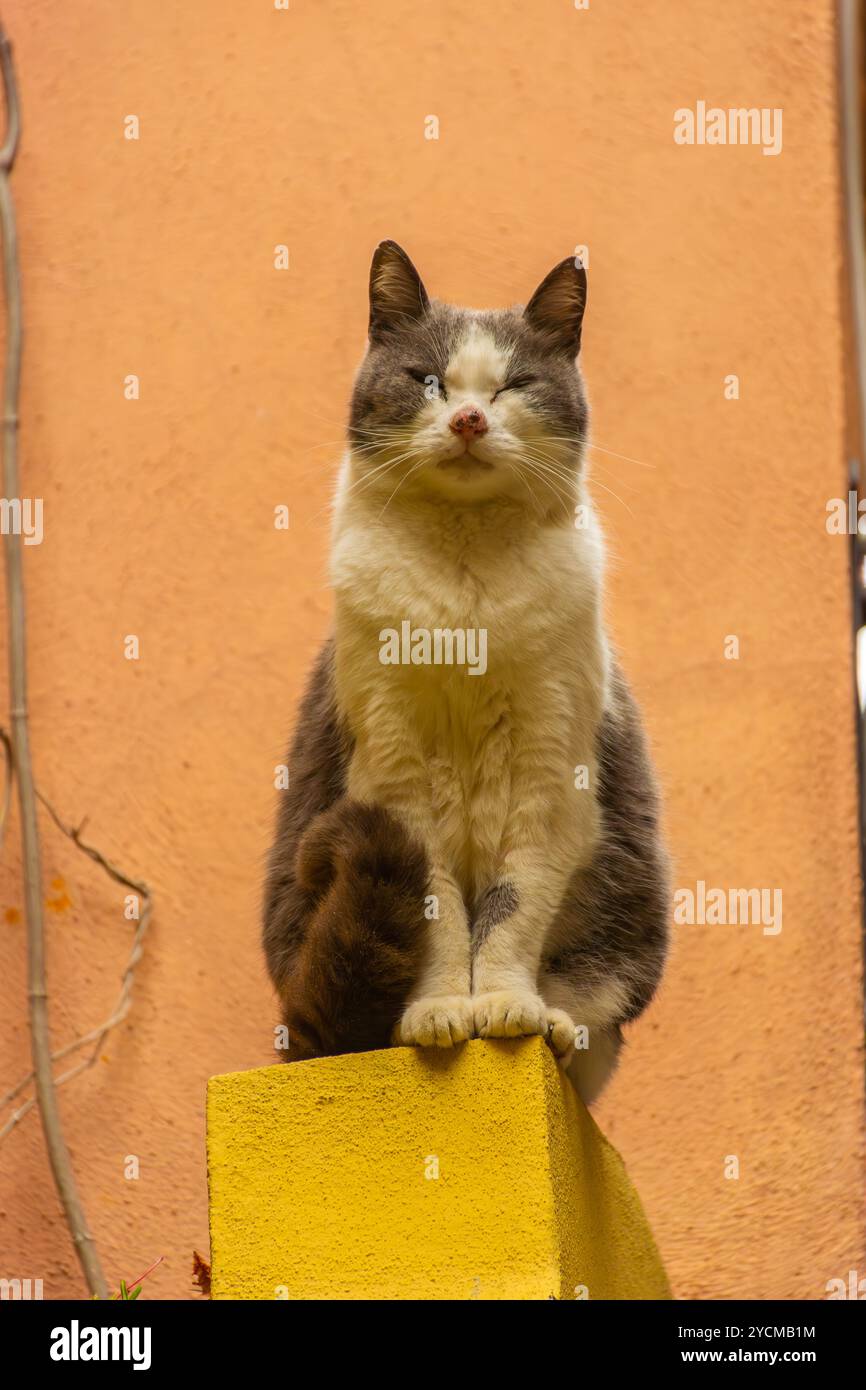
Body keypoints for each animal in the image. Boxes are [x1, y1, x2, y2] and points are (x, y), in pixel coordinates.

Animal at [264, 241, 670, 1106]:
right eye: (427, 379)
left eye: (514, 384)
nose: (470, 418)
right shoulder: (395, 773)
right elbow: (442, 913)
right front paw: (442, 1013)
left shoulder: (551, 774)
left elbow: (512, 909)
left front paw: (508, 1009)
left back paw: (556, 1024)